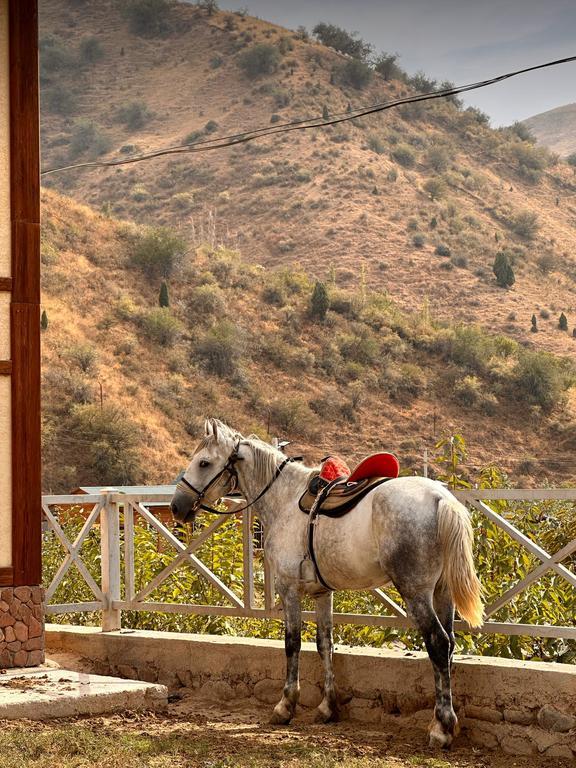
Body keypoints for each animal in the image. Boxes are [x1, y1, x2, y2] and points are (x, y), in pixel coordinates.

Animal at [170, 418, 483, 749]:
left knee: (438, 643)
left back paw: (442, 728)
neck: (285, 499)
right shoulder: (323, 593)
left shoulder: (288, 590)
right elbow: (325, 644)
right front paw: (327, 707)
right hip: (441, 592)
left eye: (204, 463)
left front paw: (286, 705)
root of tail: (440, 498)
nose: (177, 506)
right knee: (449, 645)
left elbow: (292, 643)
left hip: (416, 593)